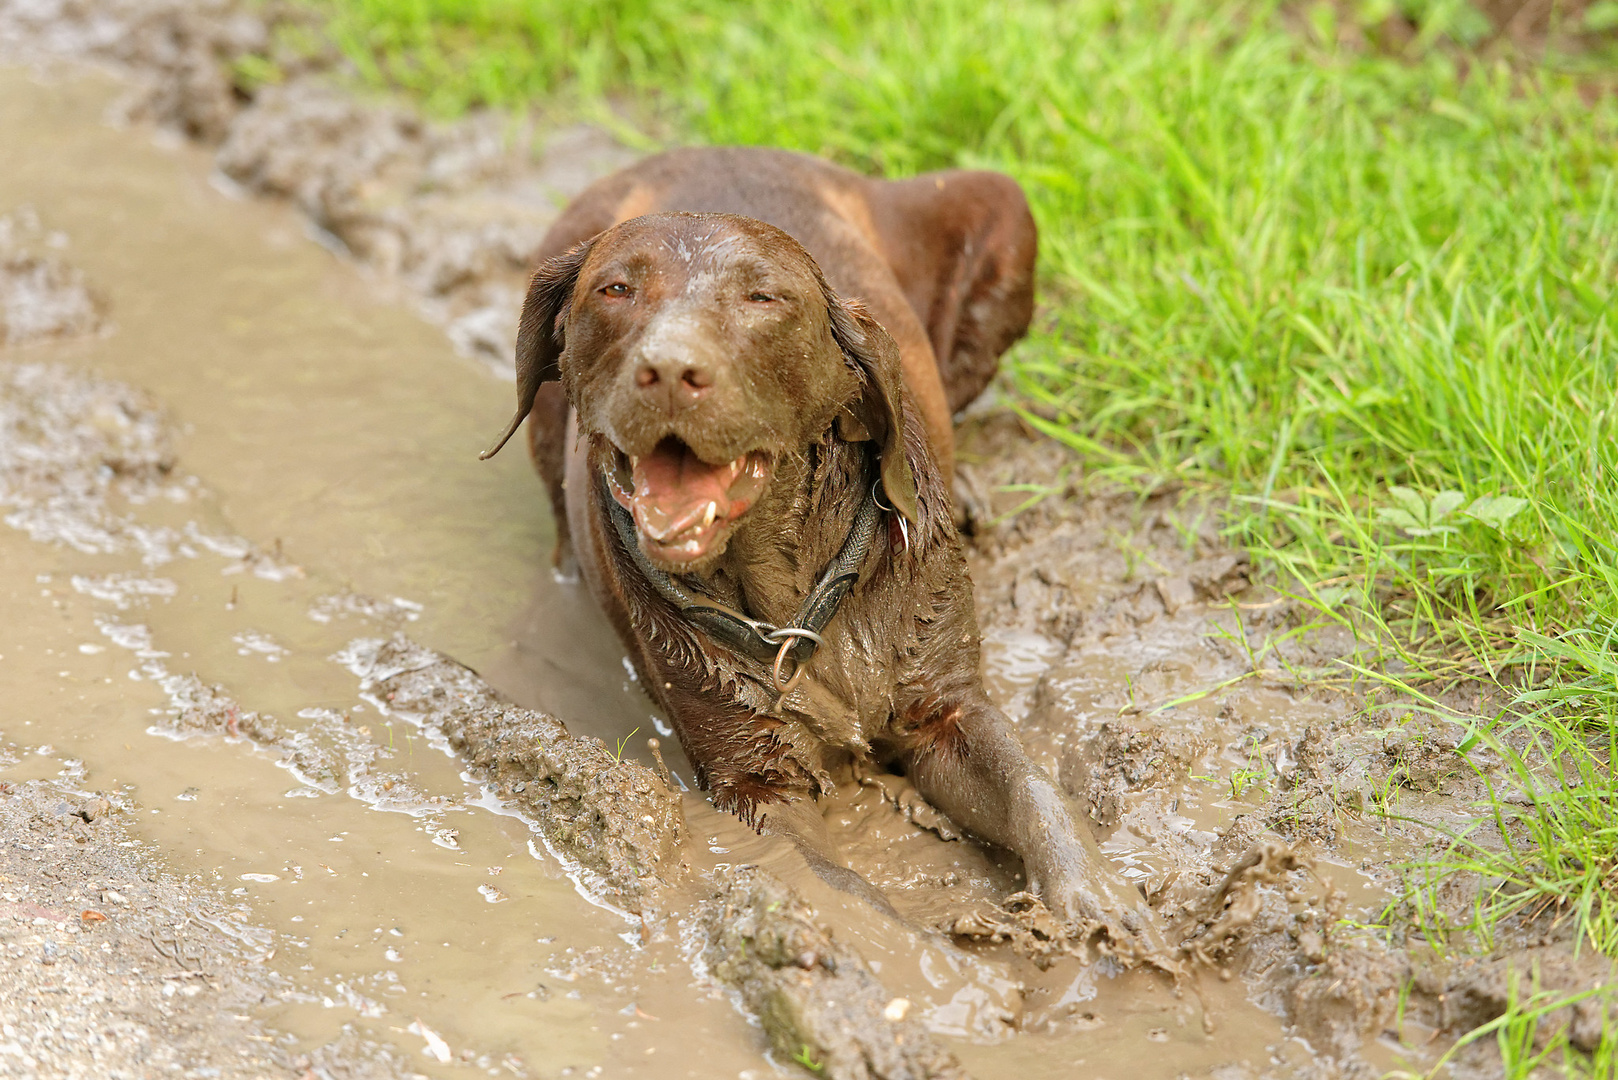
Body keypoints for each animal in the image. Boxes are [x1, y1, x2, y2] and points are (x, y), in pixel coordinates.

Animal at [478, 148, 1152, 932]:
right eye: (615, 289)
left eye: (763, 298)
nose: (670, 369)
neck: (792, 599)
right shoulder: (759, 779)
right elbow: (837, 885)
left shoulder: (946, 710)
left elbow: (1031, 788)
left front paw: (1093, 893)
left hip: (1003, 207)